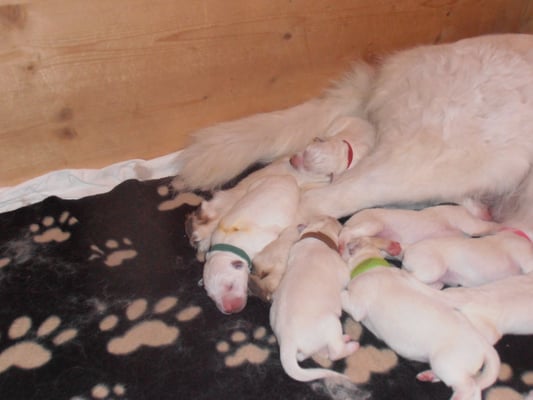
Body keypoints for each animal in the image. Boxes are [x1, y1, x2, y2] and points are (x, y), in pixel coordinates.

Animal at [202, 174, 302, 314]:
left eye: (230, 286)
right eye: (211, 297)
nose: (229, 310)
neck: (226, 247)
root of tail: (286, 176)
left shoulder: (263, 240)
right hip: (256, 184)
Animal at [269, 215, 358, 382]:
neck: (318, 234)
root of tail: (286, 341)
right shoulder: (344, 272)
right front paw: (348, 252)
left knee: (307, 355)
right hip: (331, 323)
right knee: (335, 352)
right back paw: (351, 346)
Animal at [338, 204, 500, 259]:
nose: (490, 212)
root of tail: (348, 221)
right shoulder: (471, 224)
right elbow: (491, 226)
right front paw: (504, 227)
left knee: (365, 240)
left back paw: (392, 246)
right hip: (373, 224)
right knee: (346, 234)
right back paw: (342, 249)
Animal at [340, 237, 501, 400]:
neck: (370, 263)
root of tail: (484, 345)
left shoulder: (357, 305)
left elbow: (344, 296)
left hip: (446, 363)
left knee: (469, 387)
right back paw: (429, 375)